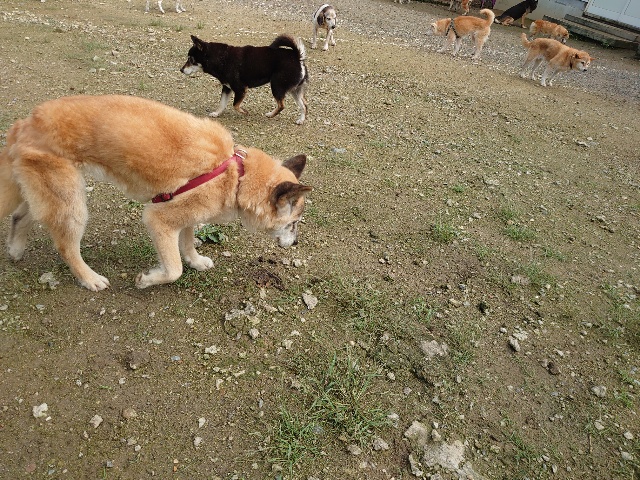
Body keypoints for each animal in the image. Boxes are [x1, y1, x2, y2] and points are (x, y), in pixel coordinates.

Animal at [0, 95, 312, 291]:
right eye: (293, 223)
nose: (296, 243)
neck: (237, 175)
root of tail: (23, 124)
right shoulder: (159, 219)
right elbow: (174, 269)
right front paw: (148, 280)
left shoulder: (186, 215)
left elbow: (187, 244)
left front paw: (196, 261)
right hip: (72, 204)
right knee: (66, 246)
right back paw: (89, 278)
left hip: (53, 193)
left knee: (21, 215)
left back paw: (15, 249)